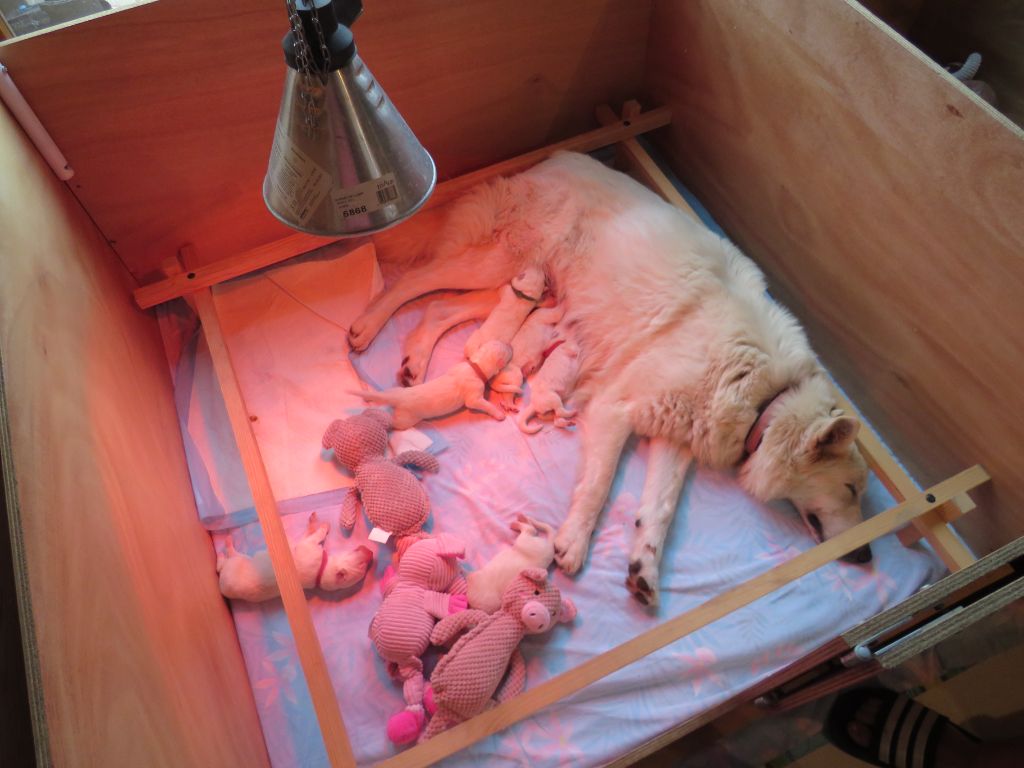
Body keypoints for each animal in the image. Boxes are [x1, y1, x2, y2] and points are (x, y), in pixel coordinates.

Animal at [218, 514, 374, 606]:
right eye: (363, 565)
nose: (371, 552)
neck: (321, 573)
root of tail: (221, 586)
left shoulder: (309, 547)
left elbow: (315, 535)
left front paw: (323, 525)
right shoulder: (306, 545)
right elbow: (311, 534)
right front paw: (316, 522)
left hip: (236, 563)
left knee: (225, 560)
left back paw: (224, 547)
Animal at [352, 339, 512, 430]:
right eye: (506, 349)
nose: (510, 344)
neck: (476, 365)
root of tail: (398, 398)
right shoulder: (474, 394)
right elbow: (479, 403)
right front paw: (499, 414)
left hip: (394, 391)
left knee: (385, 393)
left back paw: (370, 396)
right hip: (406, 419)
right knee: (394, 422)